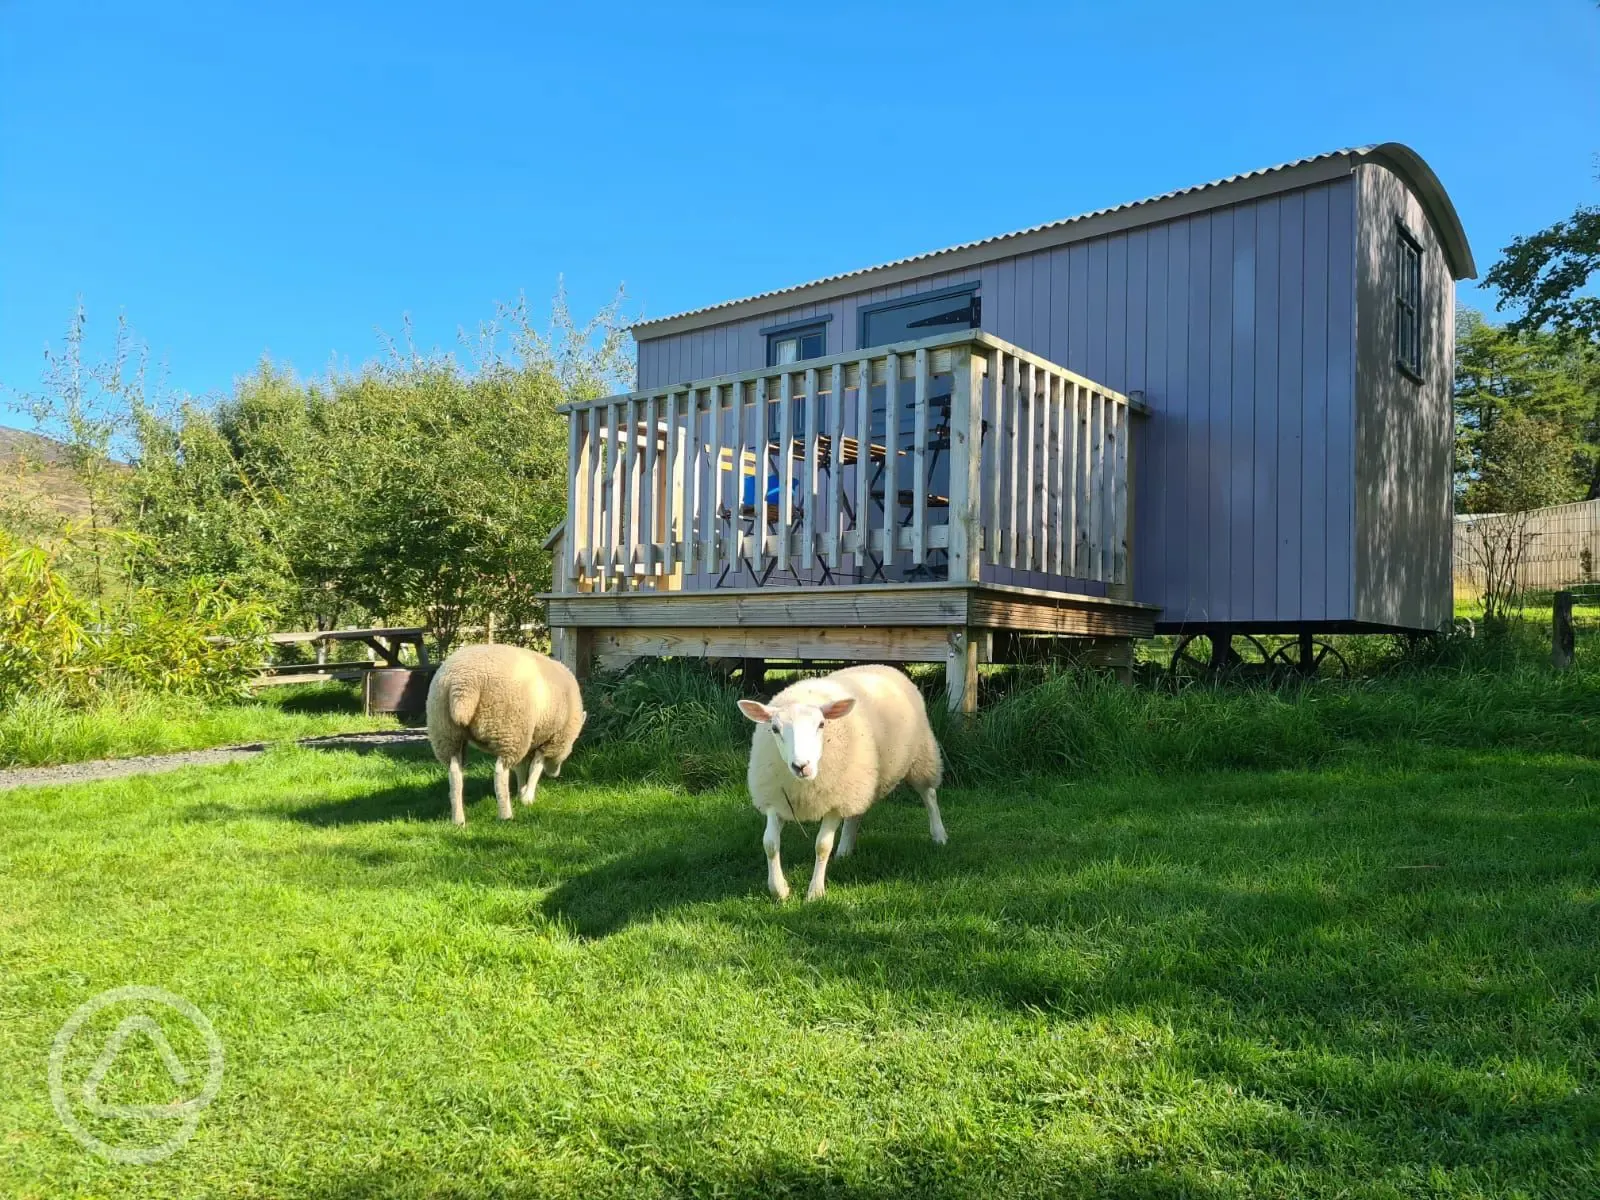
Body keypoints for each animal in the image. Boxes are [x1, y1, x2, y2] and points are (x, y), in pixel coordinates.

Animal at [425, 649, 588, 825]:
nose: (554, 775)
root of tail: (463, 685)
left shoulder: (528, 738)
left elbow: (521, 768)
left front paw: (522, 793)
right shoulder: (548, 740)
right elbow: (535, 768)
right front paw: (528, 797)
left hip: (445, 732)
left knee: (455, 773)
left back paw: (458, 819)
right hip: (508, 729)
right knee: (500, 773)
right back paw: (505, 814)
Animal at [739, 668, 947, 902]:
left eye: (821, 724)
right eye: (774, 728)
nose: (801, 766)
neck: (804, 786)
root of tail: (882, 666)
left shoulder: (834, 802)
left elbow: (822, 846)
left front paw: (815, 892)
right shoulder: (776, 800)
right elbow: (770, 844)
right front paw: (779, 889)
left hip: (920, 755)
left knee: (929, 795)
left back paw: (939, 835)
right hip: (860, 781)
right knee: (855, 813)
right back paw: (845, 849)